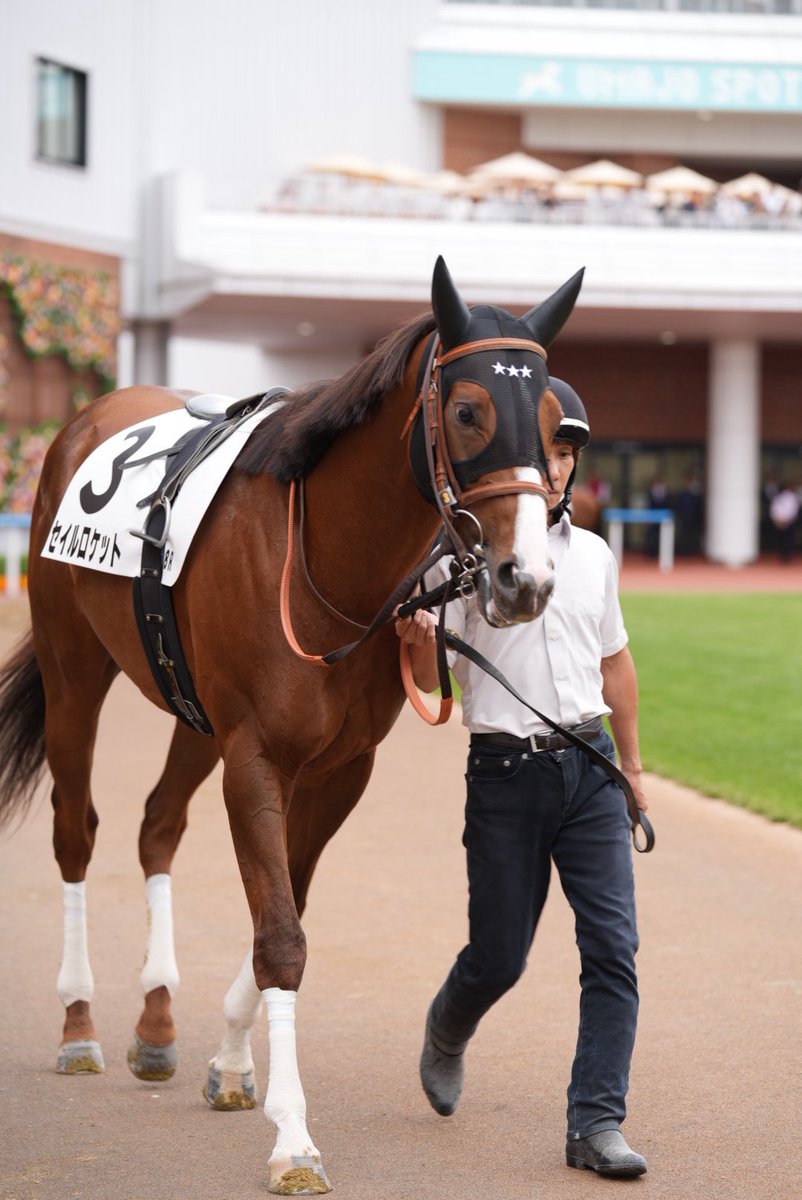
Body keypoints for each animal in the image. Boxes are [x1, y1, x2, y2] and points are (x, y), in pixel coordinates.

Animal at [0, 256, 582, 1194]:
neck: (329, 566)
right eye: (468, 411)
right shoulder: (256, 759)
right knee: (74, 830)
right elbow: (280, 936)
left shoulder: (342, 768)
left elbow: (287, 908)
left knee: (157, 825)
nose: (524, 578)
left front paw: (234, 1062)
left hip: (191, 710)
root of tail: (84, 420)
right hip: (73, 668)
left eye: (556, 424)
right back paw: (80, 1022)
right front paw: (294, 1139)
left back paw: (155, 1022)